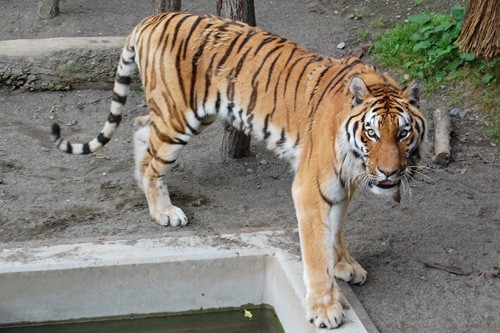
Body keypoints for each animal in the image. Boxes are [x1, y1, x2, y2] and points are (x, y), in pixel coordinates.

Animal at [49, 11, 426, 328]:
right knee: (155, 160)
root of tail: (152, 18)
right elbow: (316, 248)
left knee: (142, 128)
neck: (355, 156)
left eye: (402, 133)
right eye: (372, 132)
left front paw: (345, 265)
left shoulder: (342, 186)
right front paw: (324, 308)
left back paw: (143, 186)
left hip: (192, 116)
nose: (389, 173)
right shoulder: (312, 187)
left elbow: (335, 231)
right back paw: (164, 211)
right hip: (178, 117)